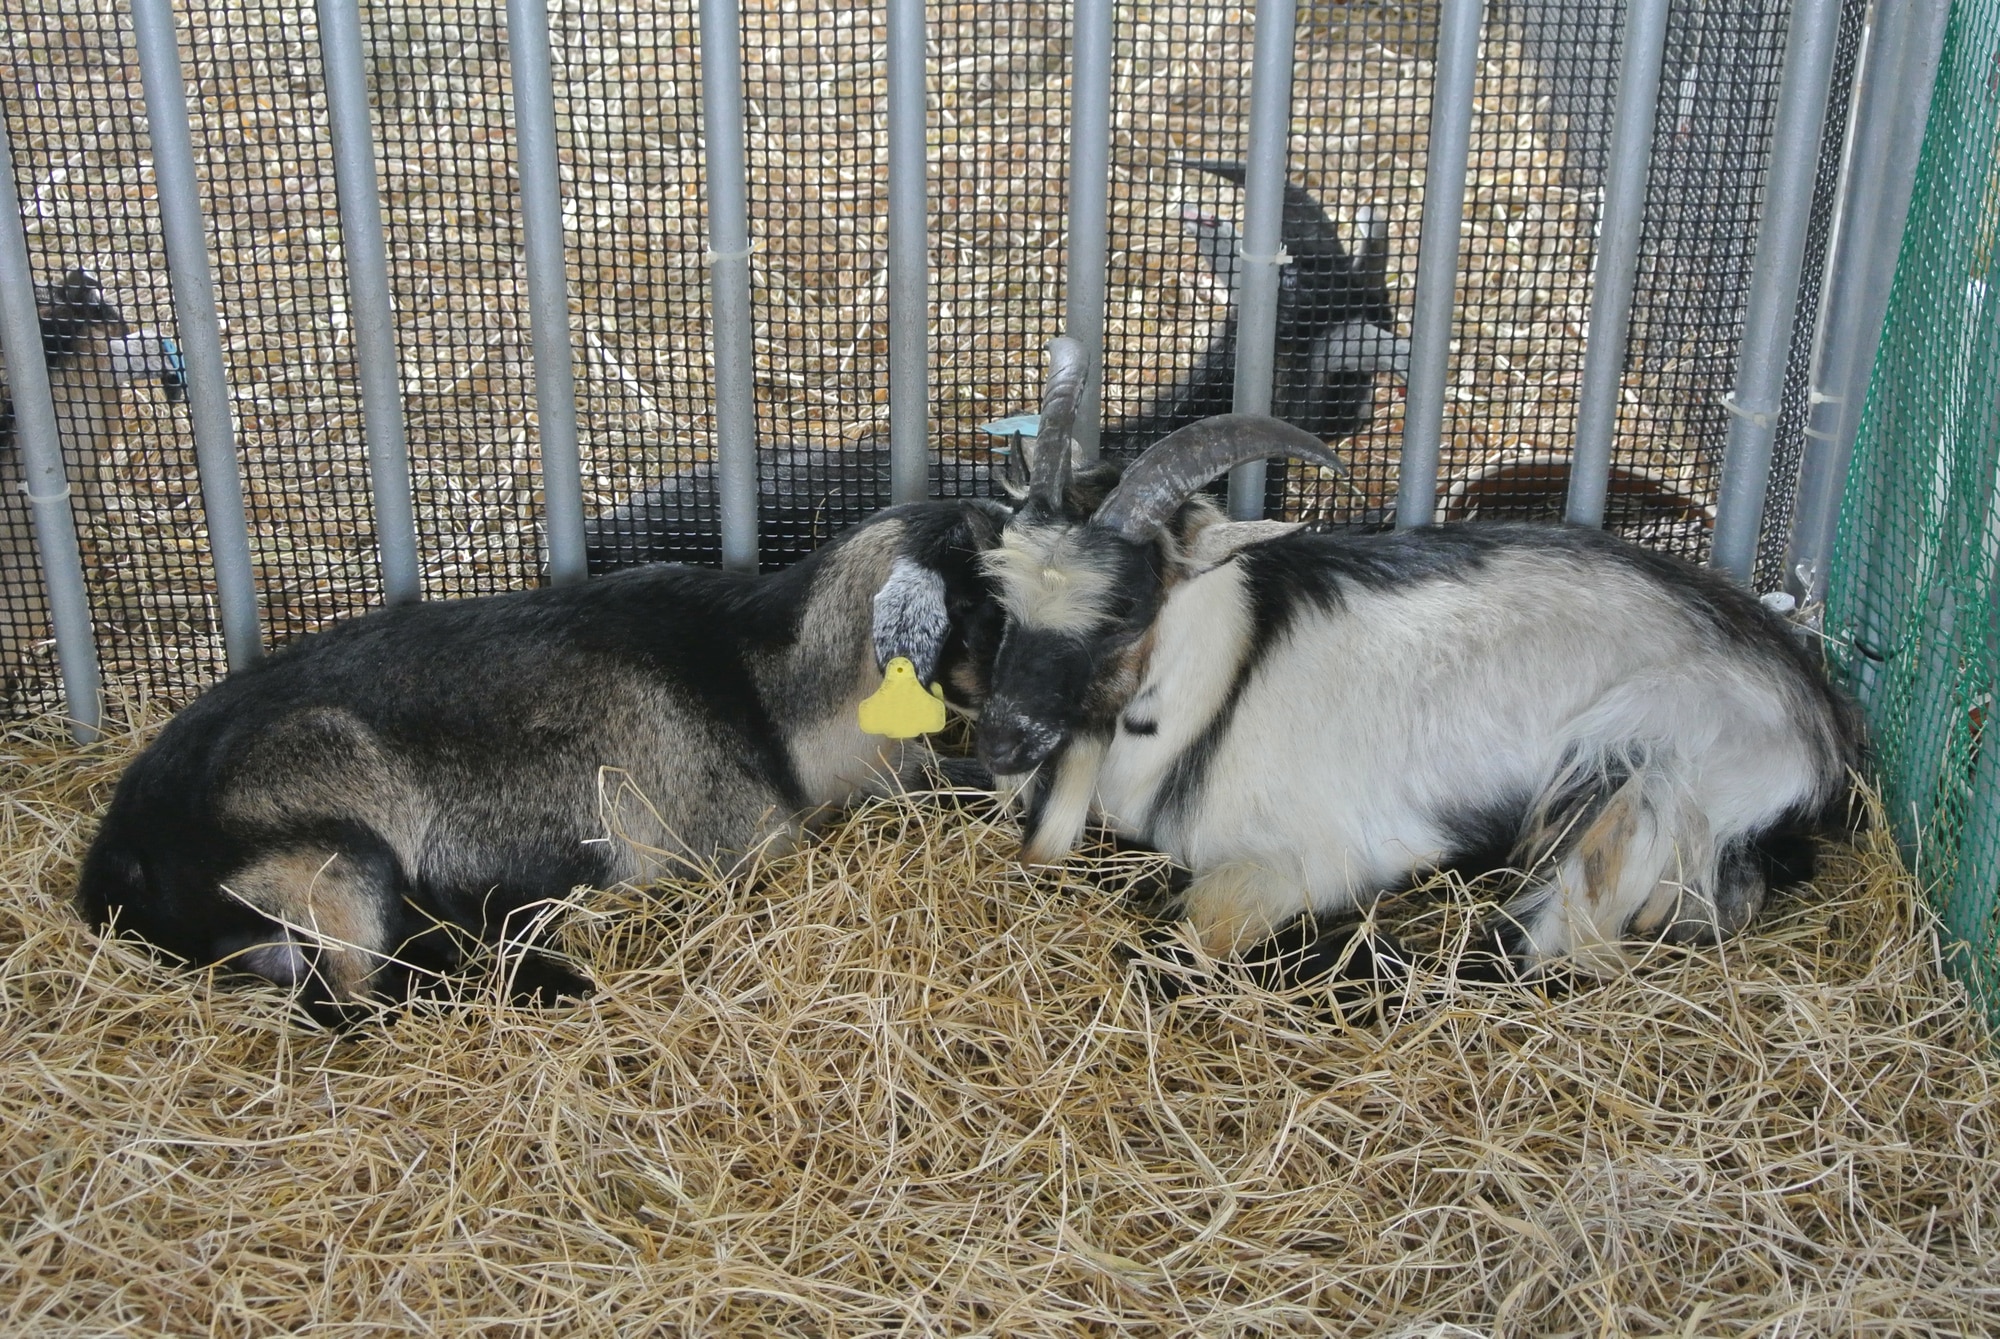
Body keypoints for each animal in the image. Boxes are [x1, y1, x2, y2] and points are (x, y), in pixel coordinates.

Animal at [975, 412, 1864, 977]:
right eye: (1002, 588)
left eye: (1127, 606)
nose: (1000, 739)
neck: (1224, 679)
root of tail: (1818, 722)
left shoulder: (1301, 862)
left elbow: (1180, 940)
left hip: (1642, 765)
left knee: (1559, 940)